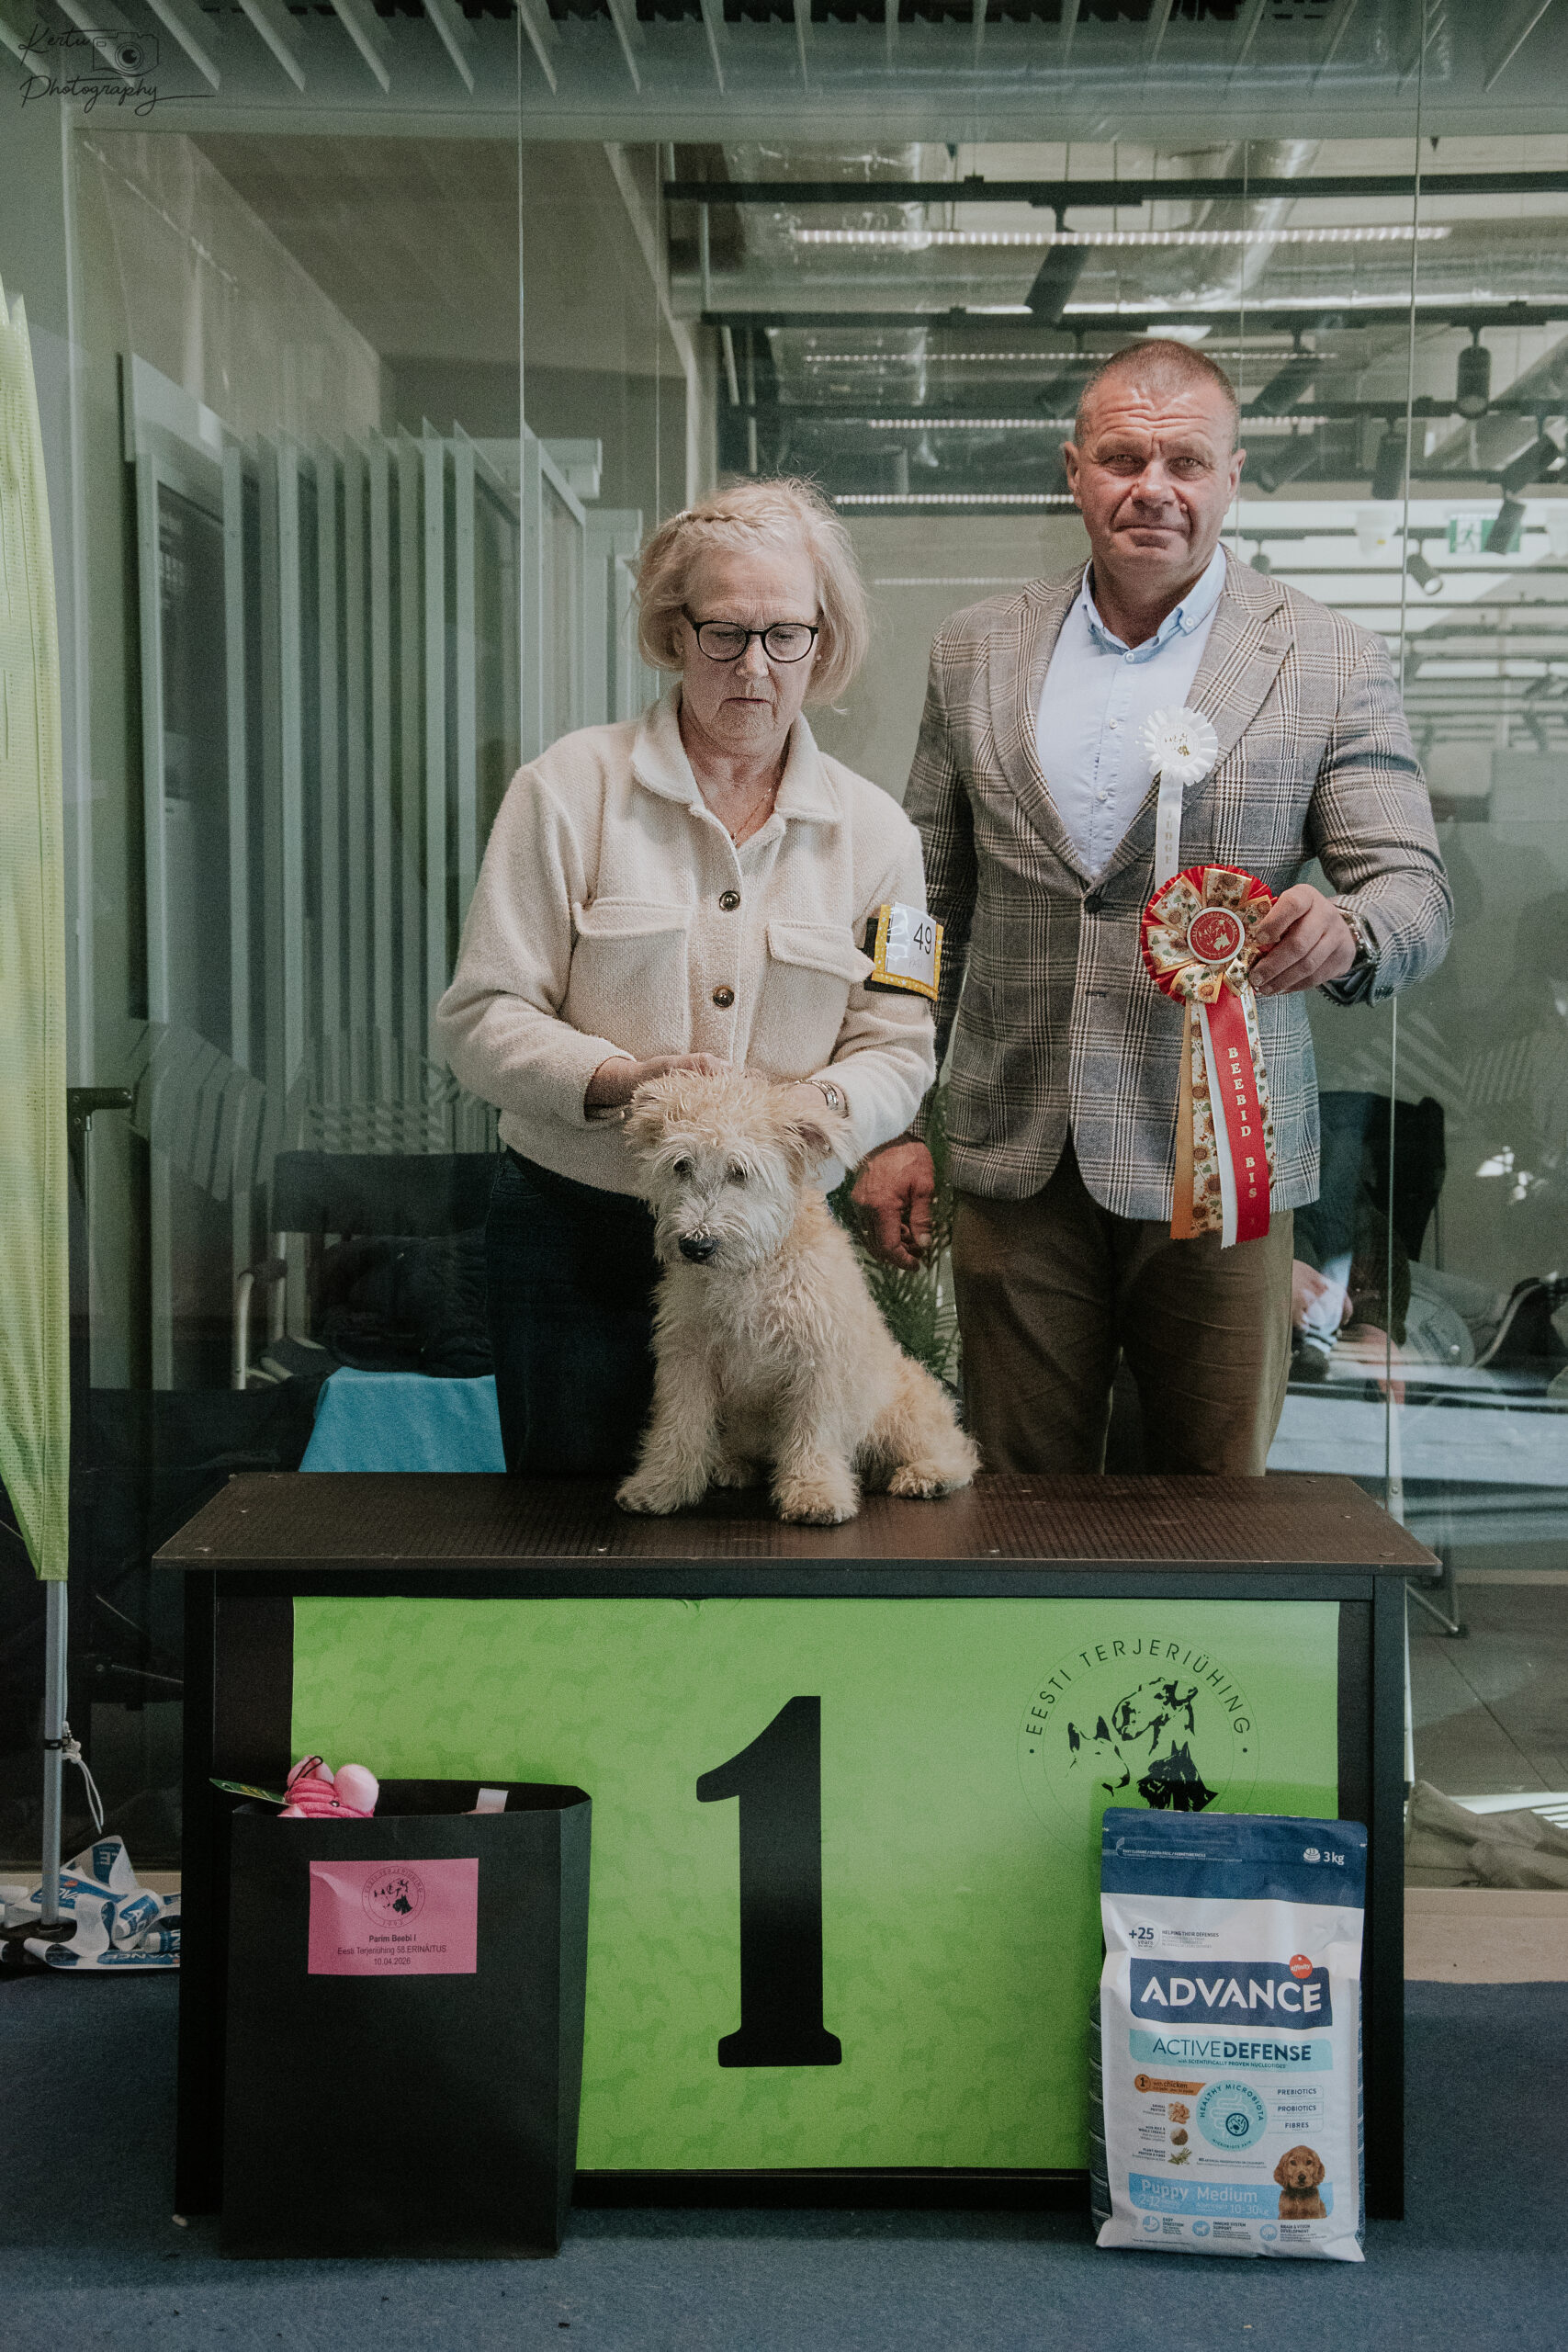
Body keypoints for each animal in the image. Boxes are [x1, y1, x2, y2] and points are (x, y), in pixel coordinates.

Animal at [615, 1067, 979, 1526]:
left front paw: (814, 1493)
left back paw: (926, 1475)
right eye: (681, 1165)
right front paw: (659, 1486)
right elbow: (679, 1428)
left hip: (905, 1409)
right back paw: (734, 1466)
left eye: (740, 1171)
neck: (751, 1271)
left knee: (958, 1453)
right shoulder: (689, 1359)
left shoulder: (817, 1364)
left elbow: (813, 1436)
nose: (696, 1246)